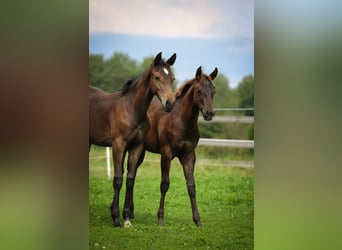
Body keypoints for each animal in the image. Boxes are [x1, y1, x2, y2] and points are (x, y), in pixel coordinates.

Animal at [136, 66, 216, 227]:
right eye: (198, 90)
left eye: (214, 91)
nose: (209, 113)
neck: (181, 121)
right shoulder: (166, 154)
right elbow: (164, 184)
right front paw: (160, 219)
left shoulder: (189, 156)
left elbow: (191, 186)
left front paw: (197, 220)